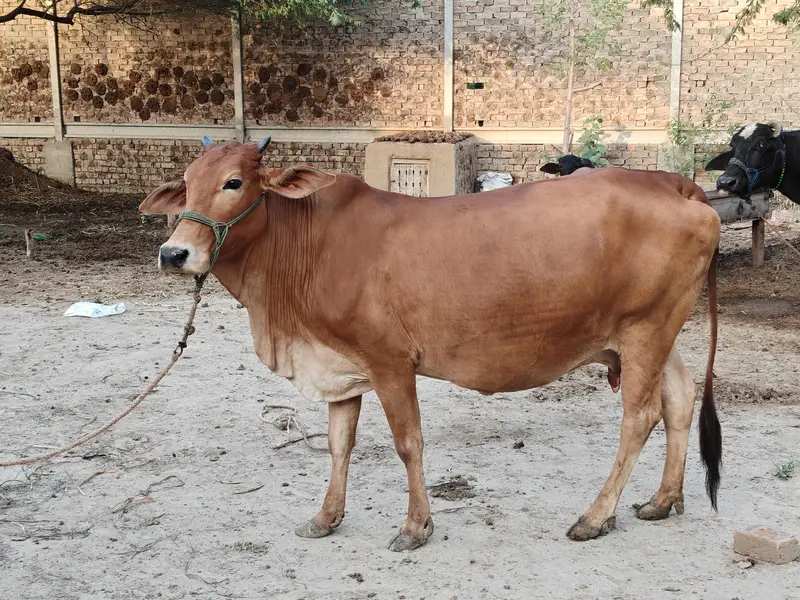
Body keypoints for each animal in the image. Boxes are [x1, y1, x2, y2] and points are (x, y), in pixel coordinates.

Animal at [140, 137, 721, 551]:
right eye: (186, 184)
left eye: (234, 182)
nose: (174, 254)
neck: (304, 248)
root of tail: (671, 182)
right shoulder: (341, 366)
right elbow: (338, 444)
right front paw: (326, 517)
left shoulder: (390, 362)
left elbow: (408, 443)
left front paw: (416, 526)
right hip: (656, 334)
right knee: (679, 398)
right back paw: (662, 500)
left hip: (644, 331)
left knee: (639, 418)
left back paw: (595, 517)